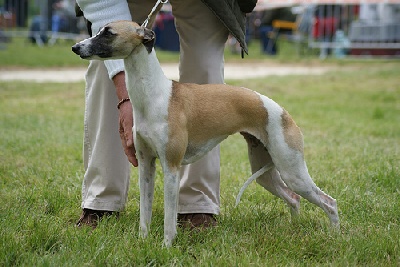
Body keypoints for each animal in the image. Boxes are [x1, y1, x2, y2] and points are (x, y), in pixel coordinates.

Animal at [72, 21, 338, 249]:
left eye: (108, 33)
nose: (76, 47)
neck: (154, 96)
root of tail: (283, 111)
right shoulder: (147, 166)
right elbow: (144, 213)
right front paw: (142, 242)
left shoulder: (172, 168)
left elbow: (169, 217)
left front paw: (166, 246)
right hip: (267, 173)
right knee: (293, 198)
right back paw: (295, 228)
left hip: (292, 169)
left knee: (329, 202)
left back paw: (336, 237)